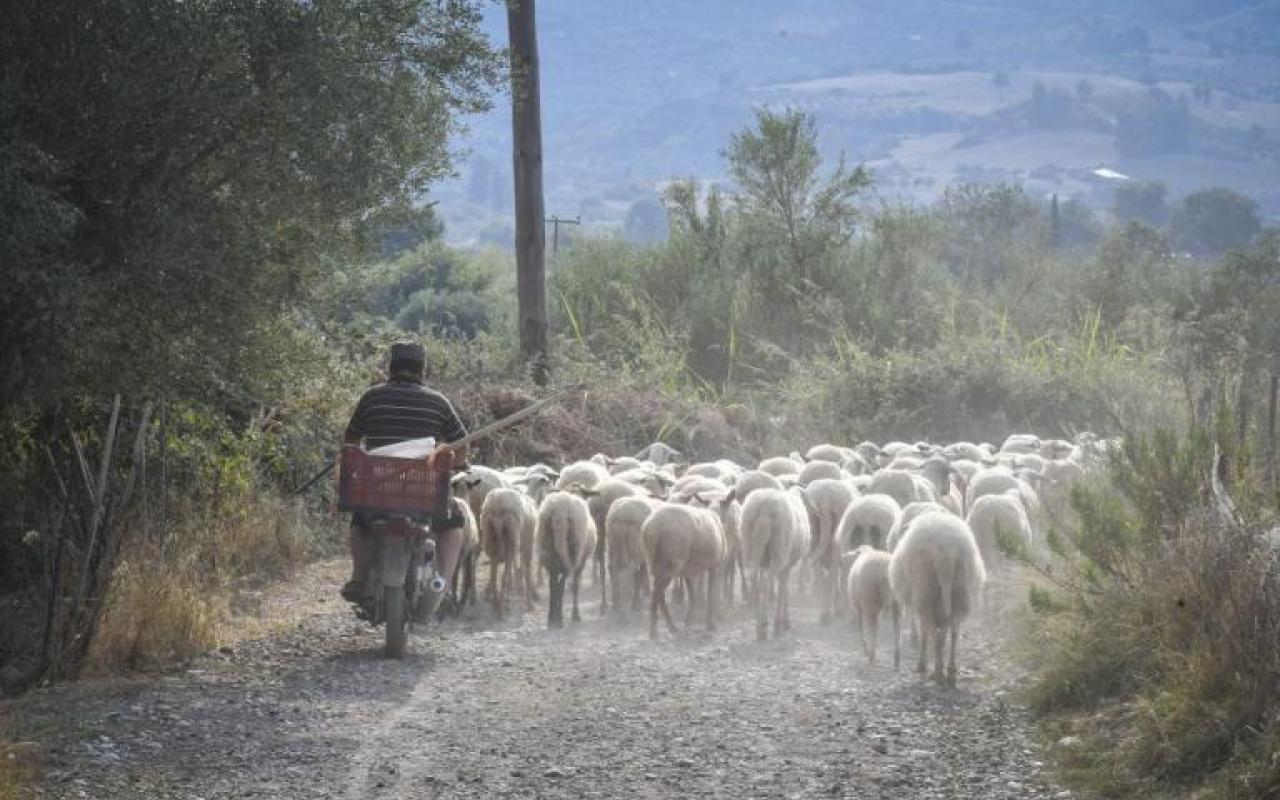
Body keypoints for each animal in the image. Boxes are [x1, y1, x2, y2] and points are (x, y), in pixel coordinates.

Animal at [540, 488, 599, 627]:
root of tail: (559, 512)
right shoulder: (581, 561)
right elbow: (575, 586)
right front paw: (575, 615)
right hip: (572, 552)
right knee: (561, 584)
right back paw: (559, 619)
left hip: (549, 550)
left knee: (553, 584)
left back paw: (551, 619)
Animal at [896, 509, 983, 680]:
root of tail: (945, 555)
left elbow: (924, 632)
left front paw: (923, 665)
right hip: (959, 593)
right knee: (952, 632)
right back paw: (949, 667)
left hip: (927, 592)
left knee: (933, 634)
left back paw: (934, 670)